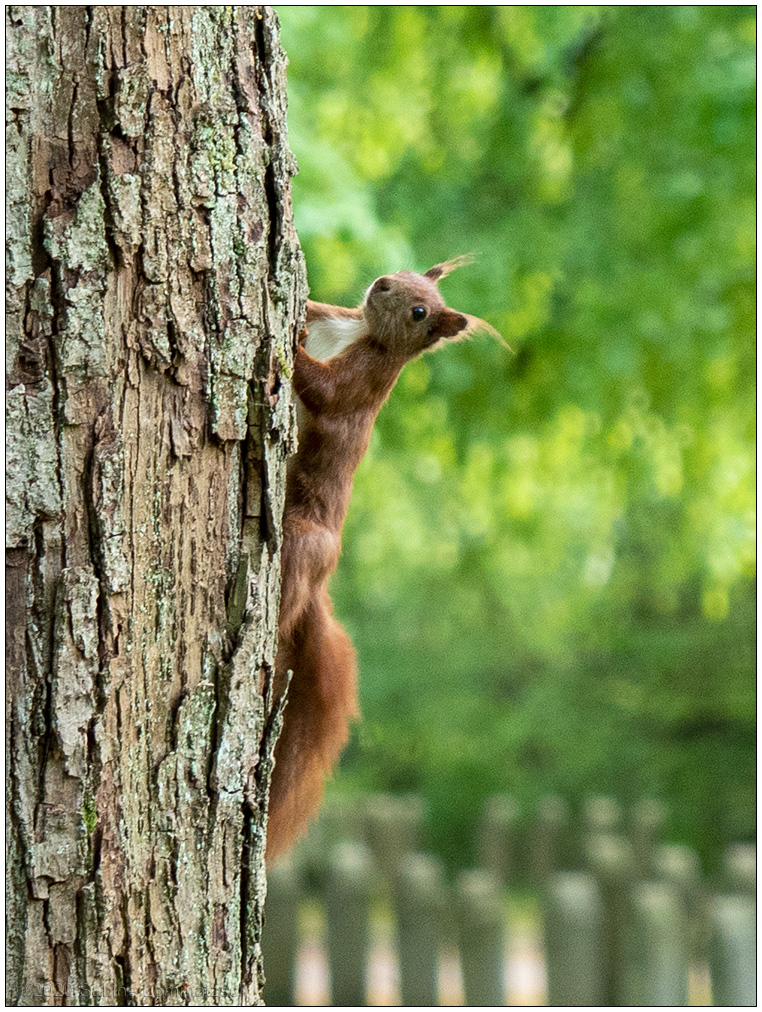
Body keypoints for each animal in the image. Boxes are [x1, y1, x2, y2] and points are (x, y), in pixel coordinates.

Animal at [266, 256, 499, 859]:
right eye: (409, 272)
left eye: (419, 311)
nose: (382, 284)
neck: (359, 332)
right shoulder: (335, 315)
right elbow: (314, 307)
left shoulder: (363, 380)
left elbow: (327, 393)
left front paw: (285, 347)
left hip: (309, 541)